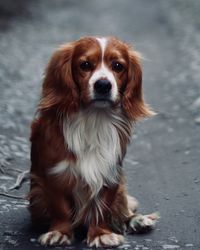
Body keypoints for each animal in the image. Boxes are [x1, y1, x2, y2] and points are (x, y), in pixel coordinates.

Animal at [28, 36, 159, 247]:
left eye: (118, 66)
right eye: (85, 65)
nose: (103, 85)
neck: (93, 119)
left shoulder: (110, 173)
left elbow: (103, 207)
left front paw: (100, 234)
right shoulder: (55, 175)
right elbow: (61, 208)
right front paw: (60, 232)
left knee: (122, 210)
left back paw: (137, 220)